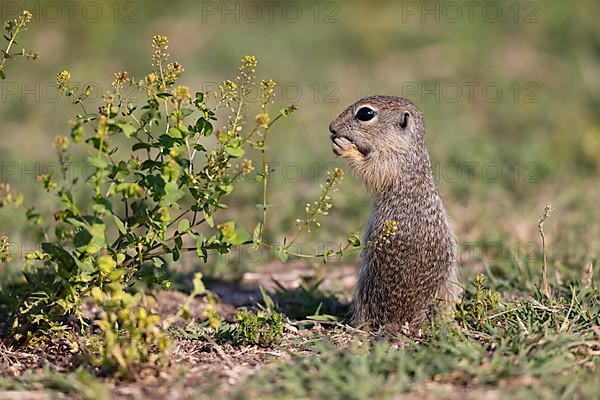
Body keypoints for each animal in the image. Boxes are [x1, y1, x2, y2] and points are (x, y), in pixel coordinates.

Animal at [330, 95, 462, 332]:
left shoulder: (389, 162)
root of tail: (407, 319)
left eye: (365, 114)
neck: (407, 148)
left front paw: (345, 147)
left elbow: (371, 170)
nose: (332, 128)